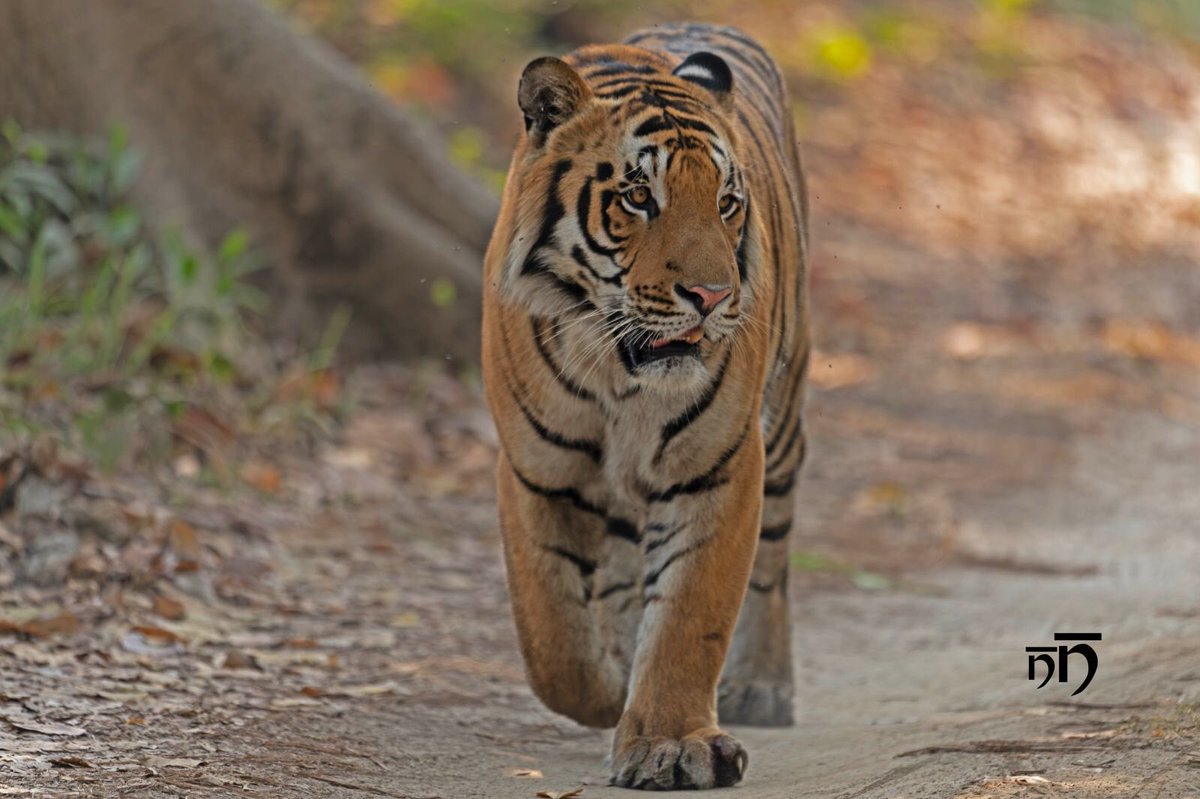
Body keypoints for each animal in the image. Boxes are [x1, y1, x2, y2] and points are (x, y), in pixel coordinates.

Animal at [482, 21, 811, 787]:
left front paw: (671, 742)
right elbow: (552, 638)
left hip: (783, 424)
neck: (620, 377)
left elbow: (691, 615)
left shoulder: (720, 465)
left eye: (726, 201)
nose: (713, 296)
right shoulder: (536, 469)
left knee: (775, 561)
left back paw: (763, 685)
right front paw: (609, 692)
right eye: (638, 197)